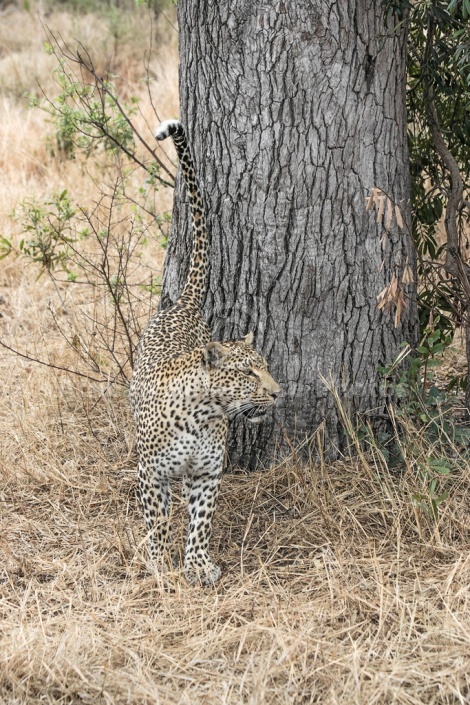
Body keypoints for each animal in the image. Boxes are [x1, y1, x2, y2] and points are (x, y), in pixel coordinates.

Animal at [129, 118, 280, 584]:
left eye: (266, 368)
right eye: (248, 373)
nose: (278, 392)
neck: (201, 415)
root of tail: (183, 304)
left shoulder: (208, 473)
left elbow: (201, 520)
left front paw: (197, 565)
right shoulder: (151, 473)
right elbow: (157, 520)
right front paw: (159, 561)